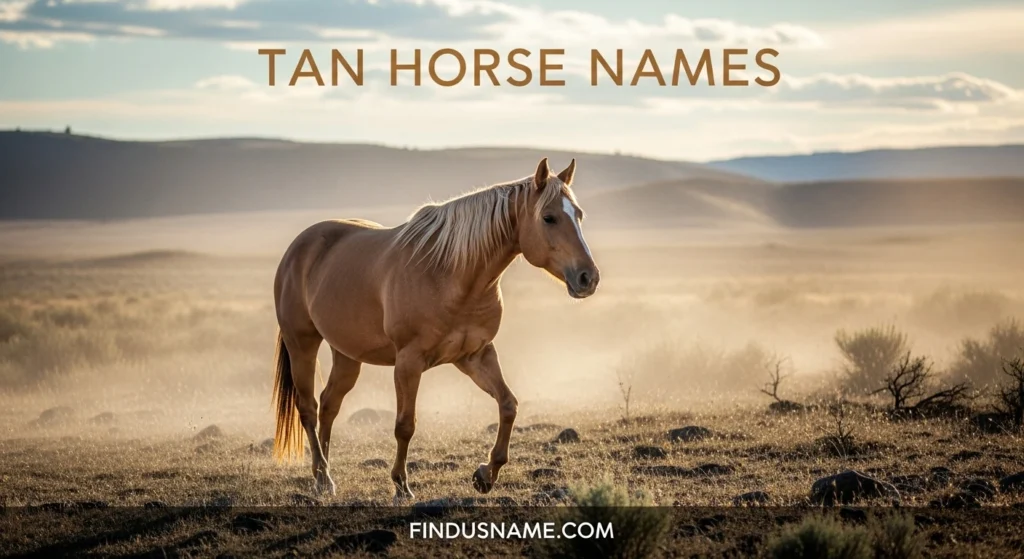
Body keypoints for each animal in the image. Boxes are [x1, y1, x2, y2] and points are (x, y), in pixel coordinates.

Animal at [271, 157, 600, 501]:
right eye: (549, 217)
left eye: (578, 215)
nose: (588, 278)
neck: (451, 274)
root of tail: (299, 247)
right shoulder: (408, 362)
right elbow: (405, 425)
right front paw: (401, 486)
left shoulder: (476, 355)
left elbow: (508, 405)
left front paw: (486, 474)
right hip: (302, 344)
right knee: (308, 407)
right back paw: (323, 478)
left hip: (347, 354)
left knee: (329, 405)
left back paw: (325, 477)